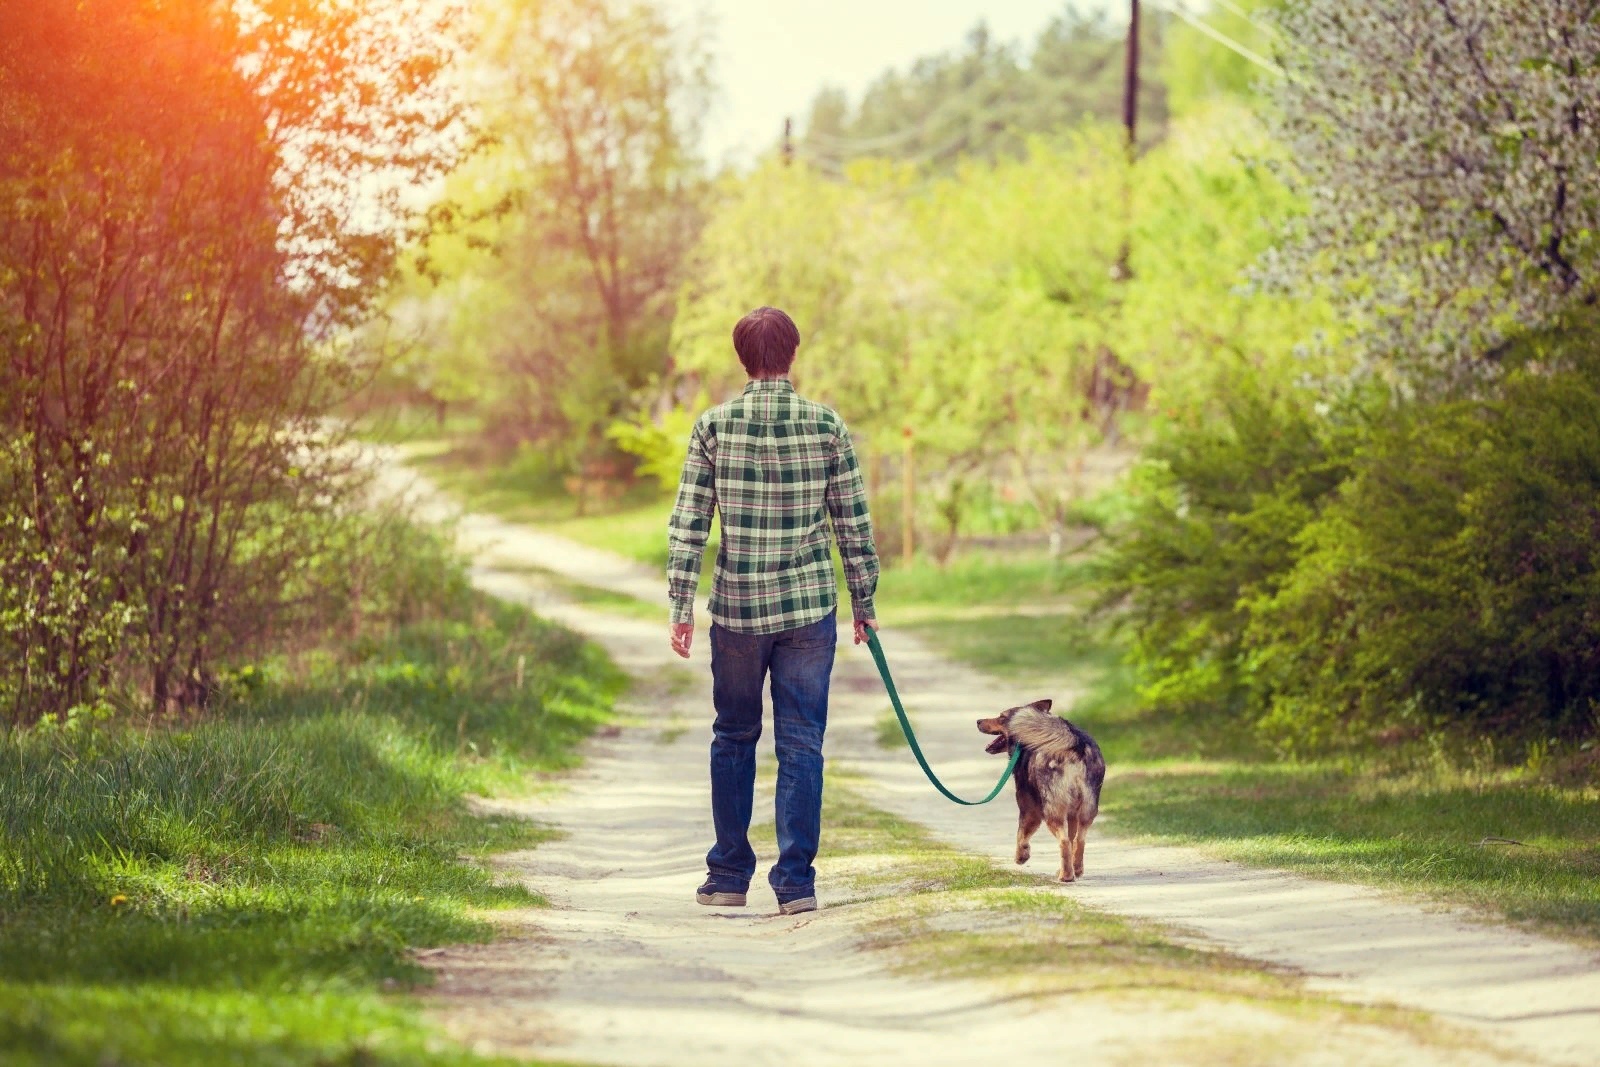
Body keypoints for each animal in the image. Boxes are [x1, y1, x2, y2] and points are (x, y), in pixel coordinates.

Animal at [972, 700, 1100, 883]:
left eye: (1001, 717)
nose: (978, 721)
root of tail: (1075, 744)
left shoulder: (1029, 810)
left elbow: (1021, 834)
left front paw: (1021, 856)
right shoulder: (1071, 814)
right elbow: (1072, 838)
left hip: (1051, 810)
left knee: (1064, 841)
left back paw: (1066, 876)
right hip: (1086, 810)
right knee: (1078, 840)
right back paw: (1075, 870)